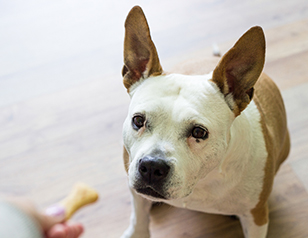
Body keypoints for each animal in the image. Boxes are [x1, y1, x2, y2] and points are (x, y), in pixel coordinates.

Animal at [121, 5, 292, 238]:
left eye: (199, 132)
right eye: (138, 120)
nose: (152, 166)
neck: (203, 181)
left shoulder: (256, 216)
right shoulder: (134, 190)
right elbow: (138, 219)